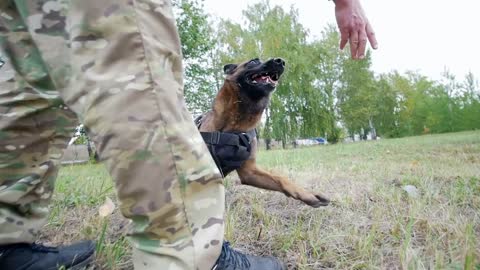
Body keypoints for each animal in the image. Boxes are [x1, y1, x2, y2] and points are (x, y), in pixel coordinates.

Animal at [195, 58, 330, 208]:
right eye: (253, 62)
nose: (281, 61)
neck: (236, 126)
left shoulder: (250, 172)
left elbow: (281, 179)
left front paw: (309, 195)